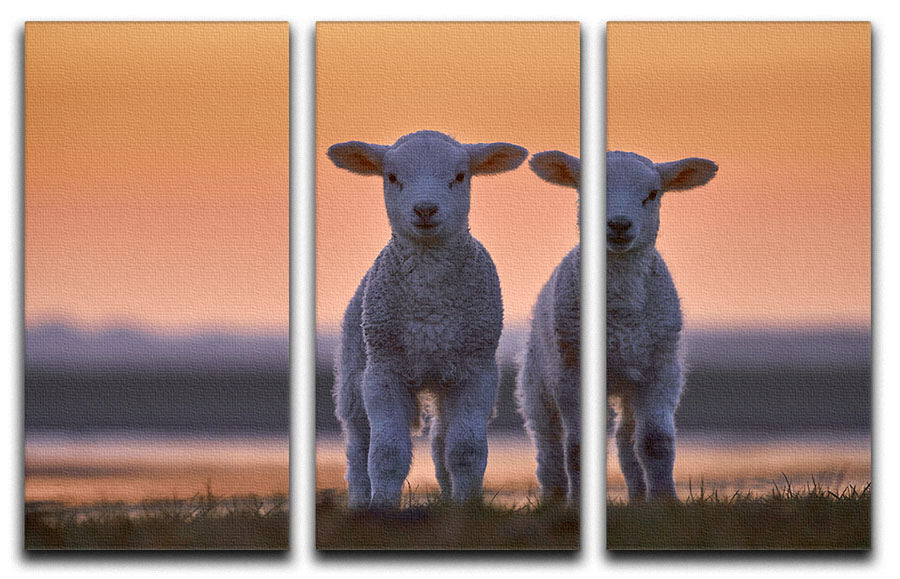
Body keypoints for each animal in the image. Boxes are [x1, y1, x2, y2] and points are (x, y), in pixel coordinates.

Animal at [328, 130, 528, 509]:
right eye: (392, 177)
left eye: (460, 176)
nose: (425, 209)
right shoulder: (383, 372)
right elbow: (386, 452)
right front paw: (382, 508)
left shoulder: (477, 372)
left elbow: (465, 449)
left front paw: (467, 507)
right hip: (353, 374)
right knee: (357, 446)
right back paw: (360, 502)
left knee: (440, 440)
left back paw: (450, 498)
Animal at [606, 150, 717, 502]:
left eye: (652, 194)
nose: (618, 225)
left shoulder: (661, 370)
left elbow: (654, 441)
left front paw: (665, 501)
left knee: (625, 438)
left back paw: (638, 498)